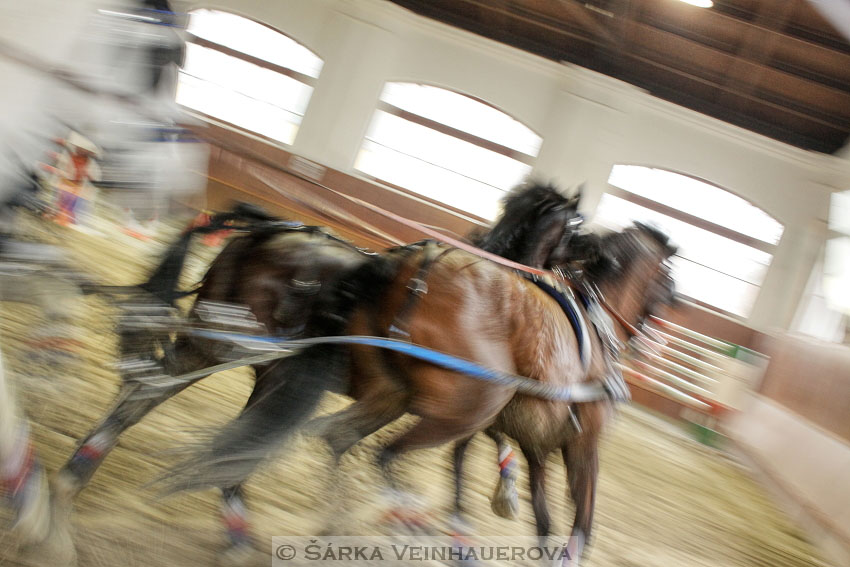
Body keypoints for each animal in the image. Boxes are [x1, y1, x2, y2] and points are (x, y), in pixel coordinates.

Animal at [53, 184, 580, 556]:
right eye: (577, 231)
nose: (577, 279)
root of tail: (264, 230)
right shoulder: (452, 401)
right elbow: (471, 448)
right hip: (236, 352)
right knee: (195, 414)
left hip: (220, 350)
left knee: (154, 395)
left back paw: (79, 472)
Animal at [162, 222, 672, 564]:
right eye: (667, 280)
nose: (656, 335)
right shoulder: (577, 442)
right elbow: (578, 519)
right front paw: (464, 532)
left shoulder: (534, 441)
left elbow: (542, 515)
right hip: (452, 402)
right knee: (370, 451)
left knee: (314, 436)